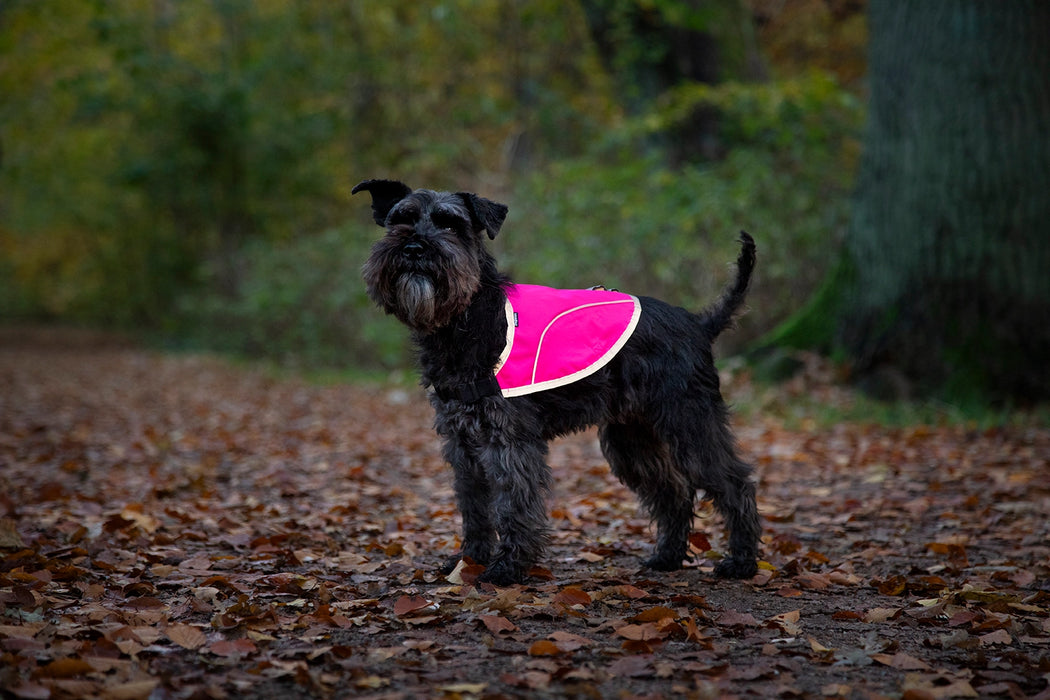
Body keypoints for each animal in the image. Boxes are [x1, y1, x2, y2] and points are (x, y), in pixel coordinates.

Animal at [356, 176, 760, 587]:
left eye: (451, 225)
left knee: (735, 483)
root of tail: (698, 324)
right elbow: (474, 508)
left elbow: (513, 505)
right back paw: (667, 557)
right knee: (673, 492)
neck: (467, 318)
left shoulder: (508, 439)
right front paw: (468, 562)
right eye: (401, 220)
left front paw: (507, 568)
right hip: (633, 438)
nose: (414, 247)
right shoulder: (462, 442)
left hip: (689, 424)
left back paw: (741, 562)